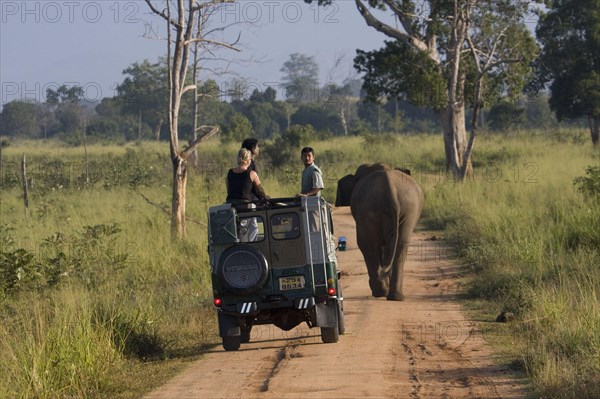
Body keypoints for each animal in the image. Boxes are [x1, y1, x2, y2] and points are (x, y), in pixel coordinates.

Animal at [336, 164, 424, 302]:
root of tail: (390, 189)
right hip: (409, 209)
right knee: (400, 245)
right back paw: (395, 296)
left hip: (371, 209)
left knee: (367, 245)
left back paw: (380, 292)